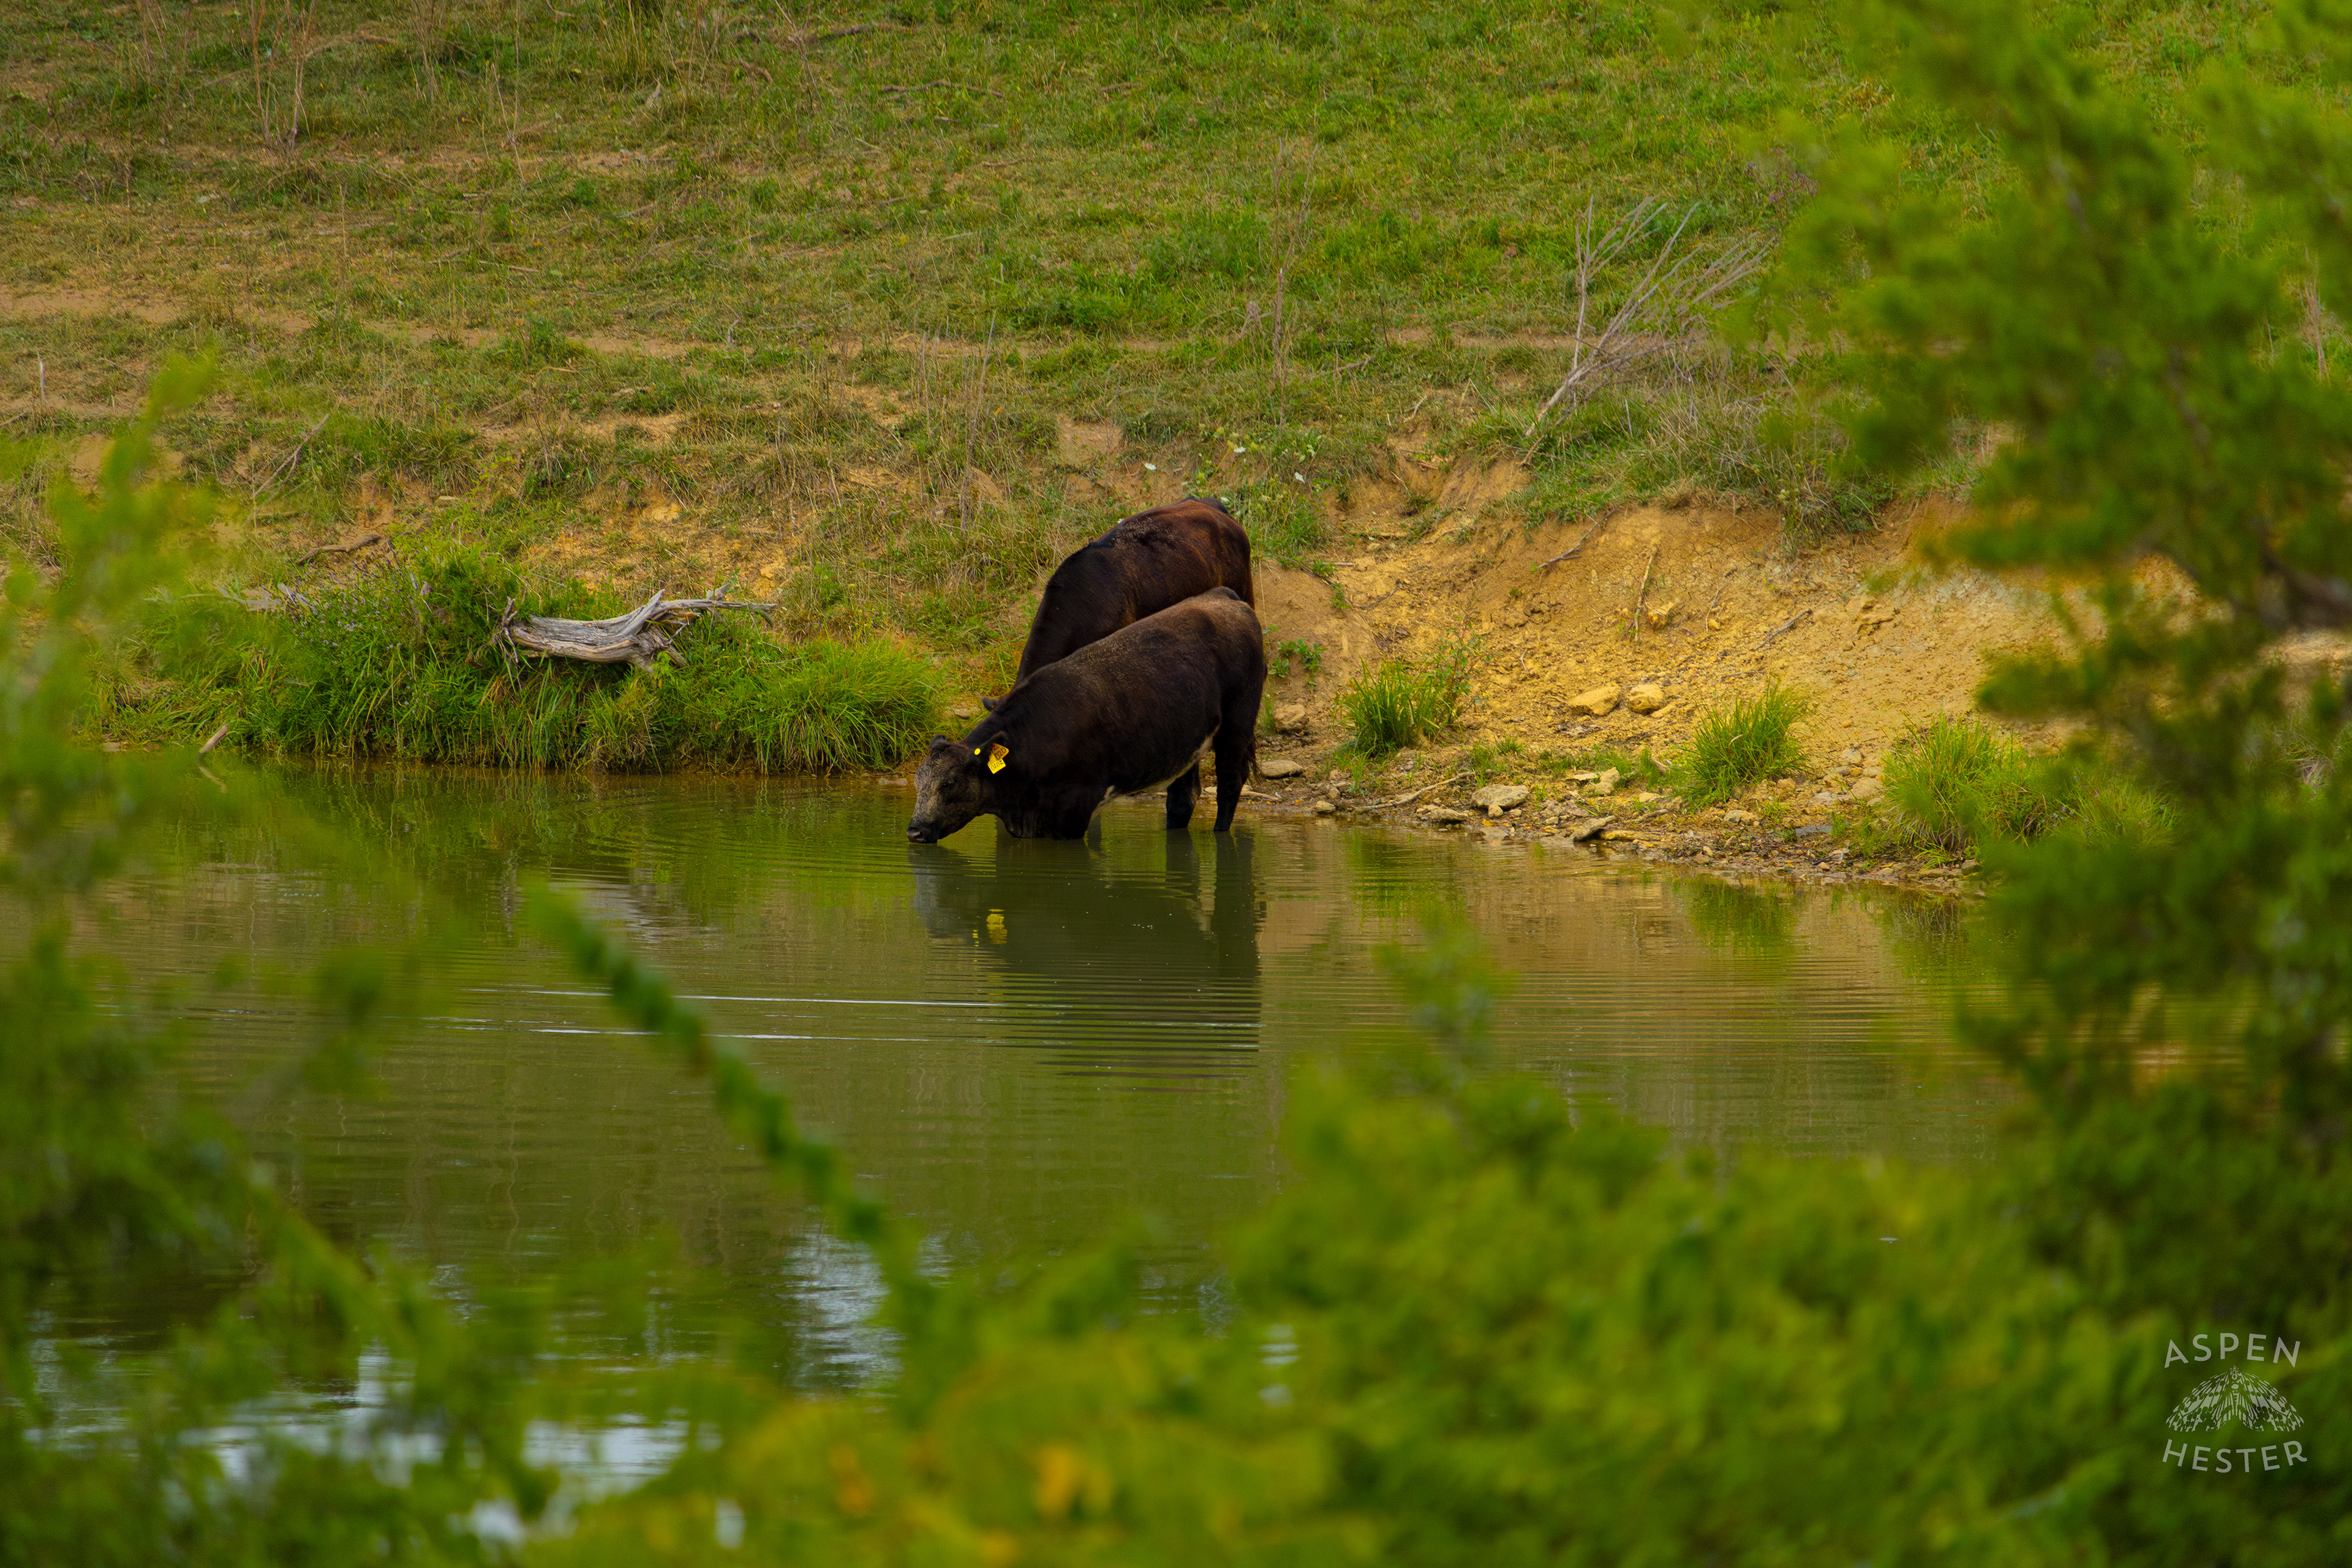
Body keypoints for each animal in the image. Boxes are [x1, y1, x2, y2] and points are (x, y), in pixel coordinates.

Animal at [908, 588, 1266, 843]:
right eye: (917, 781)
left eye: (950, 783)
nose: (914, 831)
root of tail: (1223, 596)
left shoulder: (1075, 808)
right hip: (1186, 742)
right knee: (1183, 797)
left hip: (1238, 724)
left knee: (1230, 784)